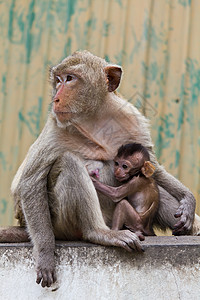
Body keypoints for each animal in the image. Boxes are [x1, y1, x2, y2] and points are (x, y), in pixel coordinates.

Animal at [1, 50, 198, 288]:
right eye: (58, 80)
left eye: (70, 79)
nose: (55, 98)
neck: (94, 118)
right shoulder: (55, 128)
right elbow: (30, 182)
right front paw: (45, 254)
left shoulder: (132, 119)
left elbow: (153, 167)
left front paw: (188, 201)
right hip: (61, 223)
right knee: (70, 163)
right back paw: (99, 233)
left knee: (147, 181)